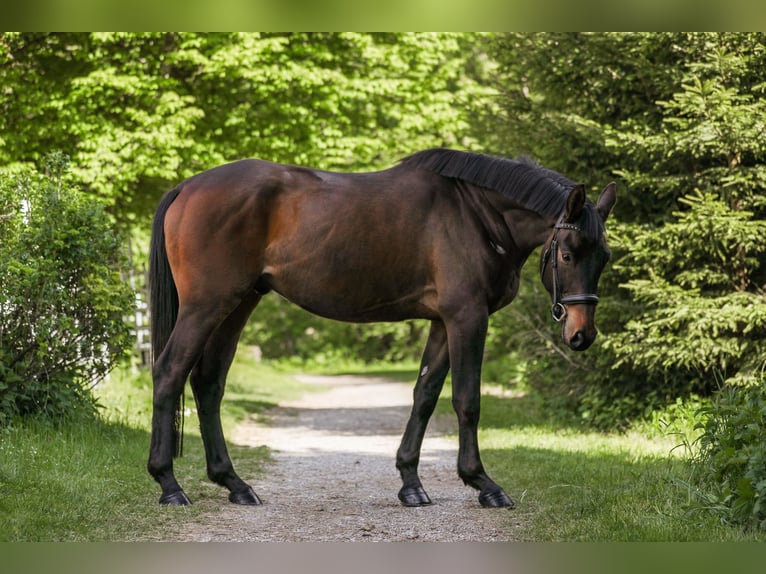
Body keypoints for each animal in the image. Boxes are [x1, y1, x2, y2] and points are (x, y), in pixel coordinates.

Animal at [147, 148, 616, 508]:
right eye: (568, 253)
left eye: (604, 257)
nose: (582, 335)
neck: (476, 215)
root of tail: (186, 187)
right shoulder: (467, 317)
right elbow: (467, 401)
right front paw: (484, 484)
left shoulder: (443, 322)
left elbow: (424, 396)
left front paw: (411, 483)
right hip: (207, 306)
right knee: (169, 373)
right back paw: (169, 485)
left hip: (238, 304)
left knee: (208, 383)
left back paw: (234, 484)